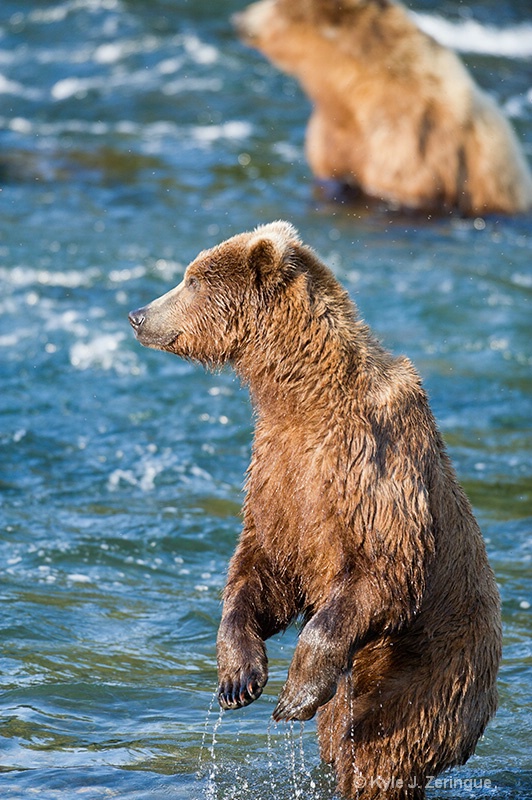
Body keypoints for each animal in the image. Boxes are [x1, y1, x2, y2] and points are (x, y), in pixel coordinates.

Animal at [129, 220, 502, 800]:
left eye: (192, 279)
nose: (138, 314)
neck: (303, 396)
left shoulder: (370, 465)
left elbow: (382, 569)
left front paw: (292, 697)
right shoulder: (278, 473)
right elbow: (265, 566)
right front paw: (238, 679)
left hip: (432, 669)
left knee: (387, 744)